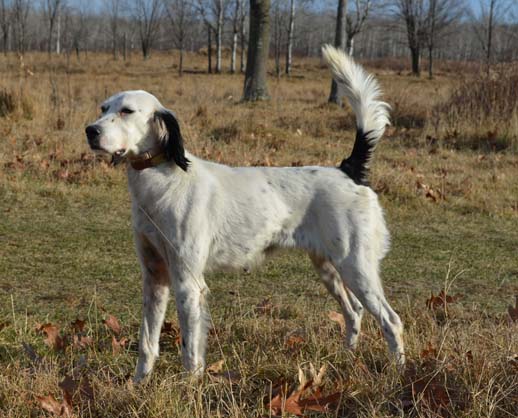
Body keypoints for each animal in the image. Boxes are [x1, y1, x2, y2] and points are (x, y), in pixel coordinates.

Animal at [86, 45, 406, 382]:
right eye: (104, 108)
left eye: (127, 111)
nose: (90, 131)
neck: (163, 180)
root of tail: (349, 170)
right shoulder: (154, 277)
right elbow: (147, 342)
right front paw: (139, 383)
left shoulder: (188, 282)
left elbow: (190, 349)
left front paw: (190, 385)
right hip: (329, 268)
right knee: (354, 311)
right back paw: (347, 357)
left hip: (356, 267)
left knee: (391, 320)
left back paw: (399, 372)